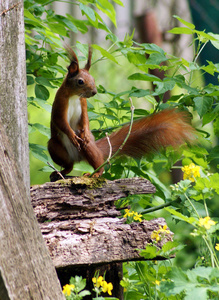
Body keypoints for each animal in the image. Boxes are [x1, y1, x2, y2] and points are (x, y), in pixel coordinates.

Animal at [48, 45, 195, 179]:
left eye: (93, 79)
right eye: (80, 81)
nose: (94, 92)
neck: (74, 96)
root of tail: (77, 157)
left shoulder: (82, 103)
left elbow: (85, 119)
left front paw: (85, 132)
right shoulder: (60, 103)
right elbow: (60, 121)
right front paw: (72, 135)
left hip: (88, 148)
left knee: (95, 159)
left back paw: (95, 171)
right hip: (55, 147)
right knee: (69, 165)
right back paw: (61, 171)